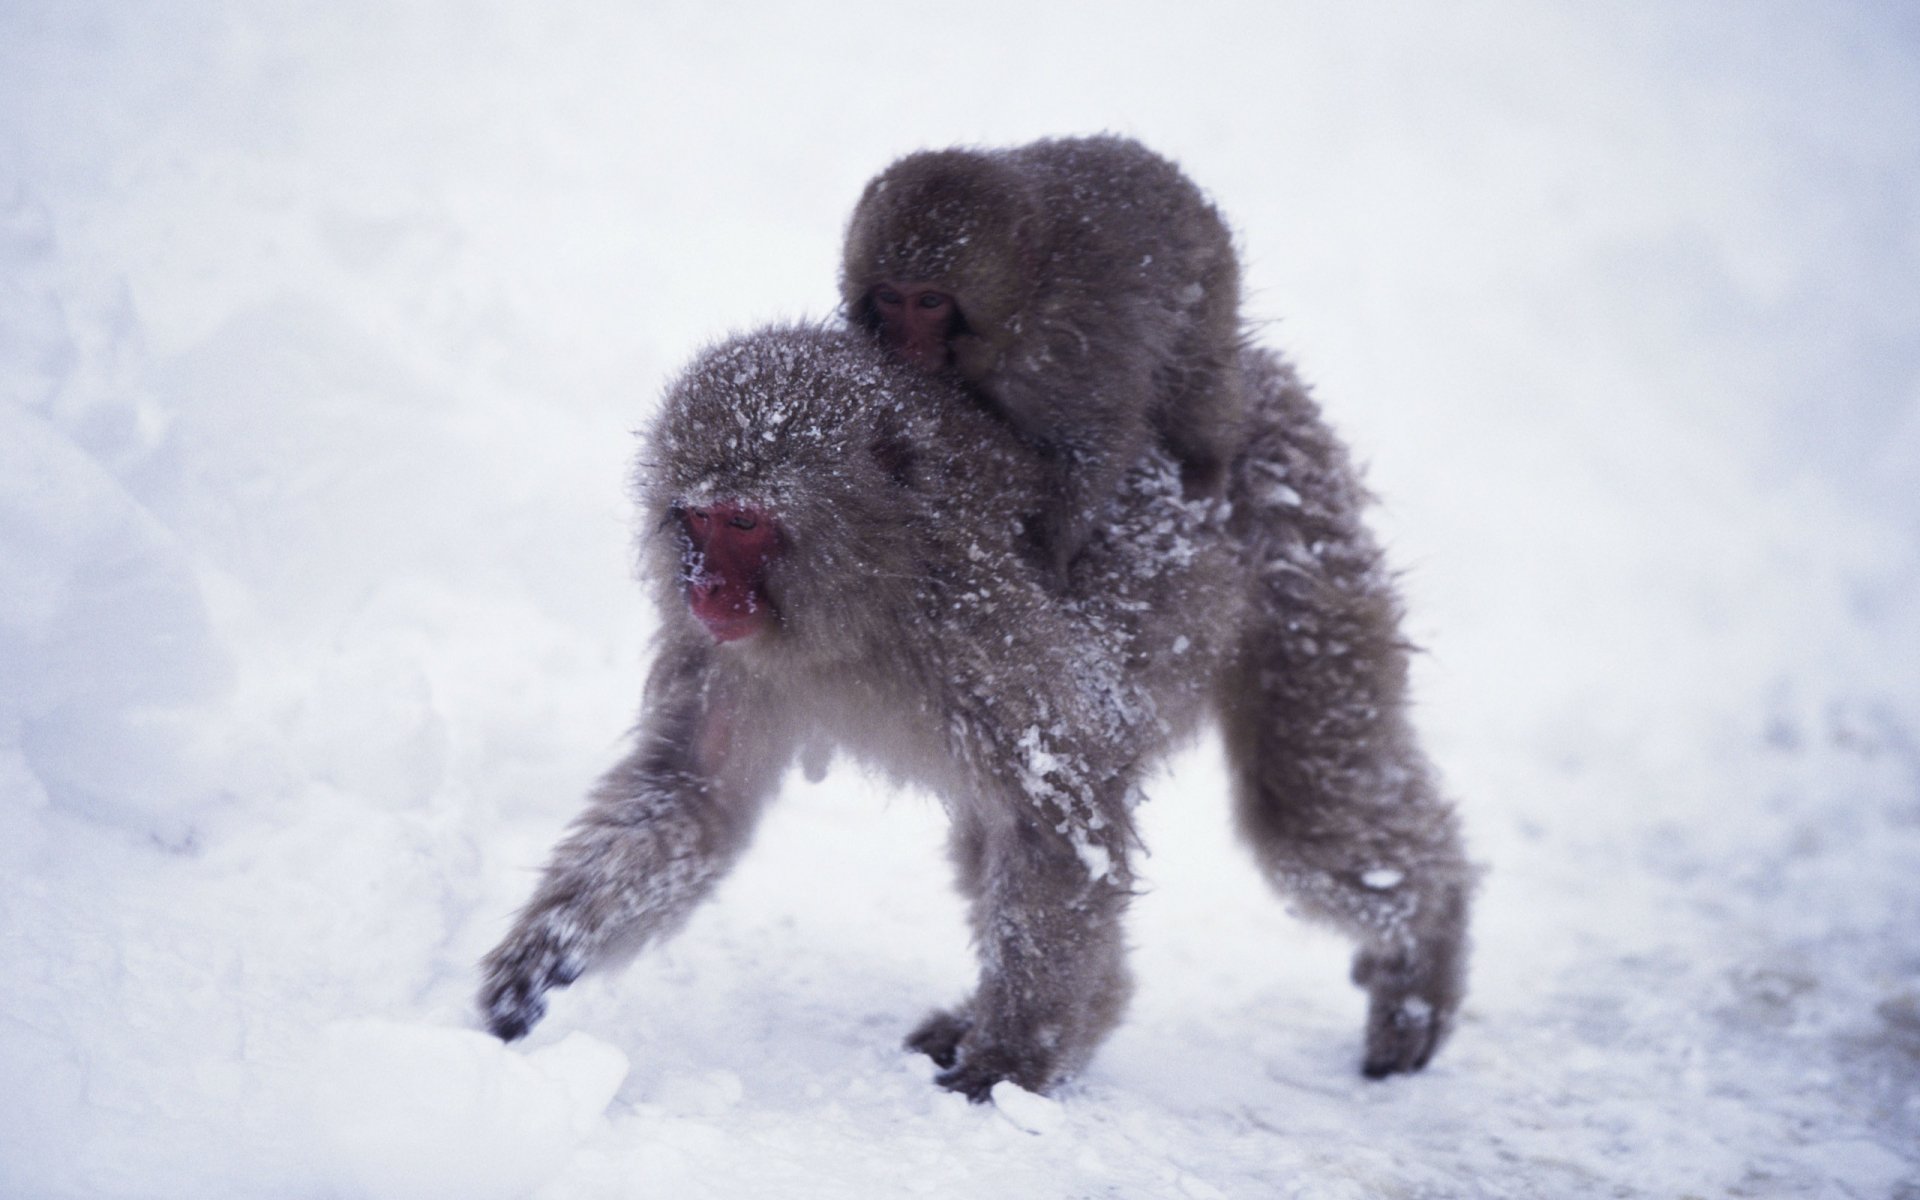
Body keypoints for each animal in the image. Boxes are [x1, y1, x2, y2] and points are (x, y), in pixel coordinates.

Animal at [478, 324, 1473, 1099]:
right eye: (698, 518)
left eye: (747, 524)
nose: (705, 588)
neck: (871, 590)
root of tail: (1255, 367)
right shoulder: (720, 655)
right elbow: (694, 798)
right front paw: (547, 949)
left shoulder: (982, 634)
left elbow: (1062, 814)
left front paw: (1014, 1059)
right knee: (986, 837)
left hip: (1307, 559)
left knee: (1308, 819)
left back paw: (1423, 957)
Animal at [840, 135, 1247, 583]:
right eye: (889, 297)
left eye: (930, 302)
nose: (904, 341)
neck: (1023, 300)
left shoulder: (1058, 358)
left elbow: (1096, 442)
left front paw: (1048, 554)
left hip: (1211, 286)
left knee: (1199, 385)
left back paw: (1205, 466)